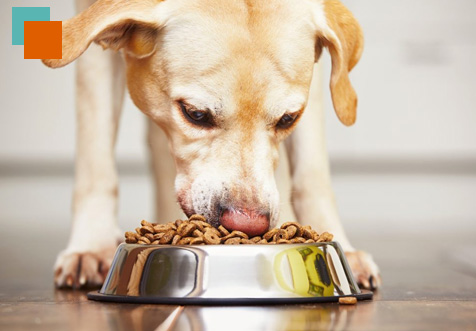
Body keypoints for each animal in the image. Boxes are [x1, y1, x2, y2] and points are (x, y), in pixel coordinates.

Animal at [42, 0, 382, 290]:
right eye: (195, 114)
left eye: (288, 119)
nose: (248, 225)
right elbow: (96, 159)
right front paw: (92, 246)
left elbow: (312, 174)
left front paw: (339, 245)